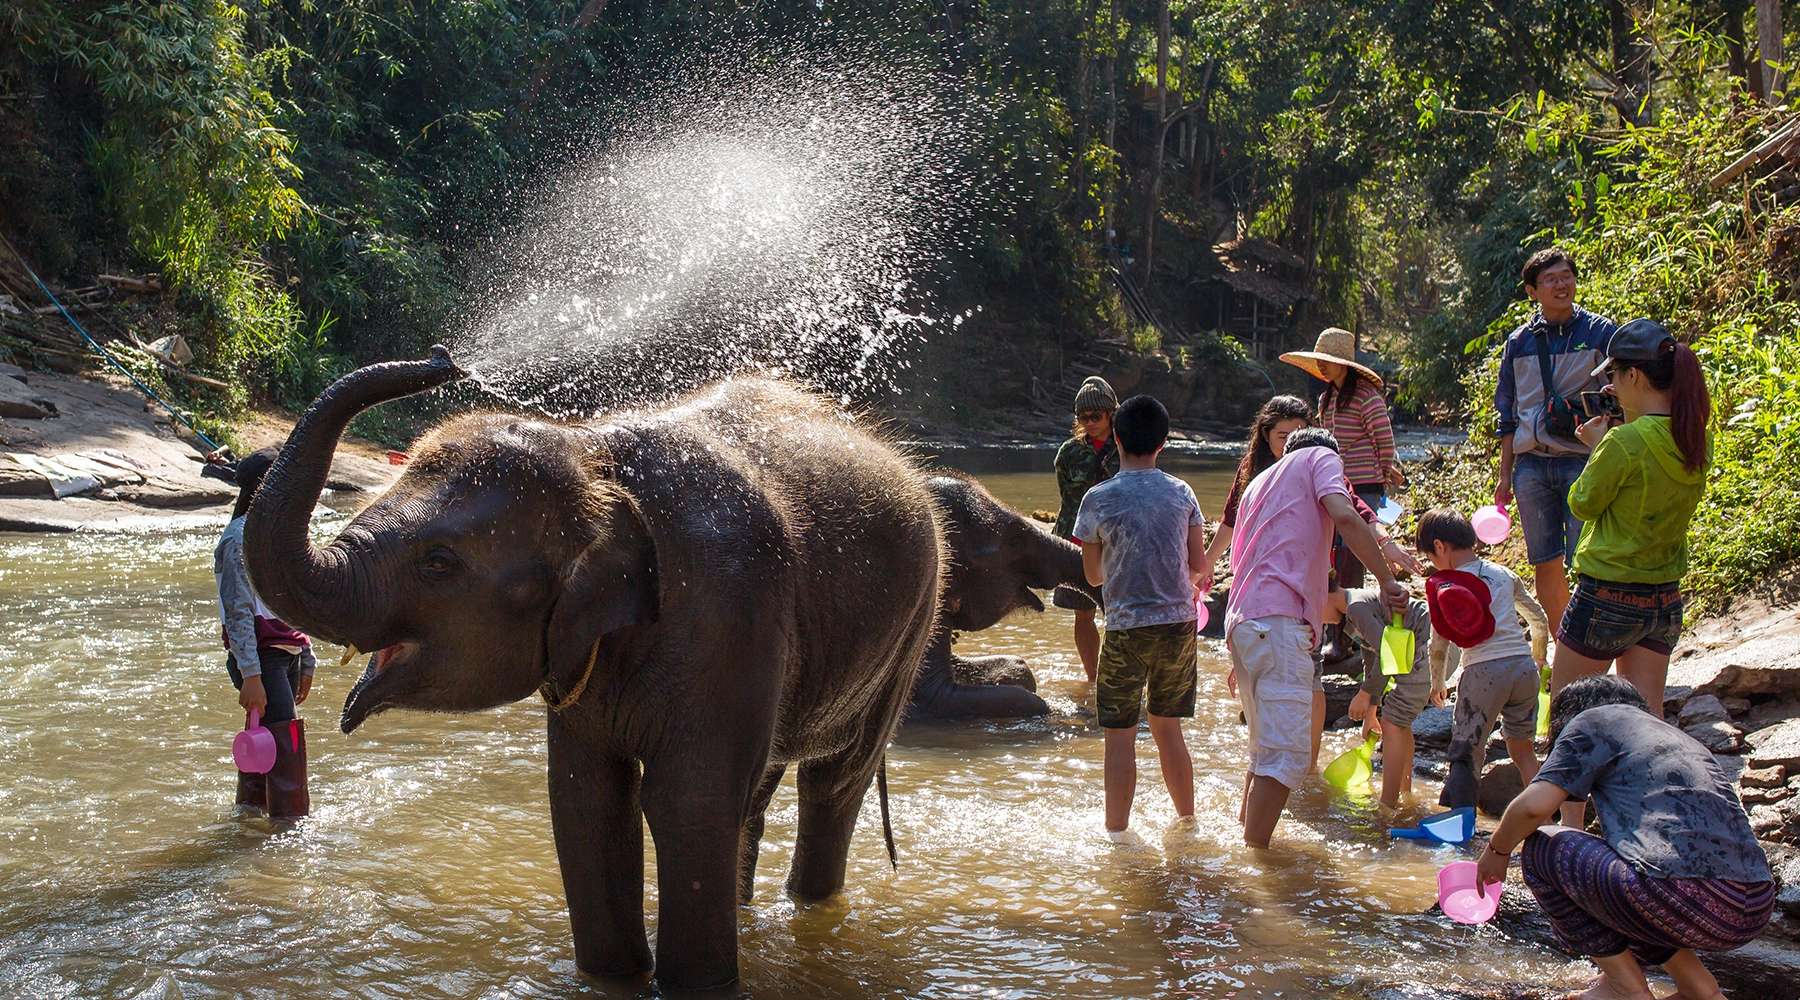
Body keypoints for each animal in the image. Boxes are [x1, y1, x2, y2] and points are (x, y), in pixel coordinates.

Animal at [241, 346, 944, 992]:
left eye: (438, 563)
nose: (443, 358)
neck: (595, 459)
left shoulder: (732, 612)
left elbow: (688, 802)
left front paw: (694, 986)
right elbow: (587, 799)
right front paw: (613, 979)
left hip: (913, 628)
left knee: (833, 784)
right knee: (760, 789)